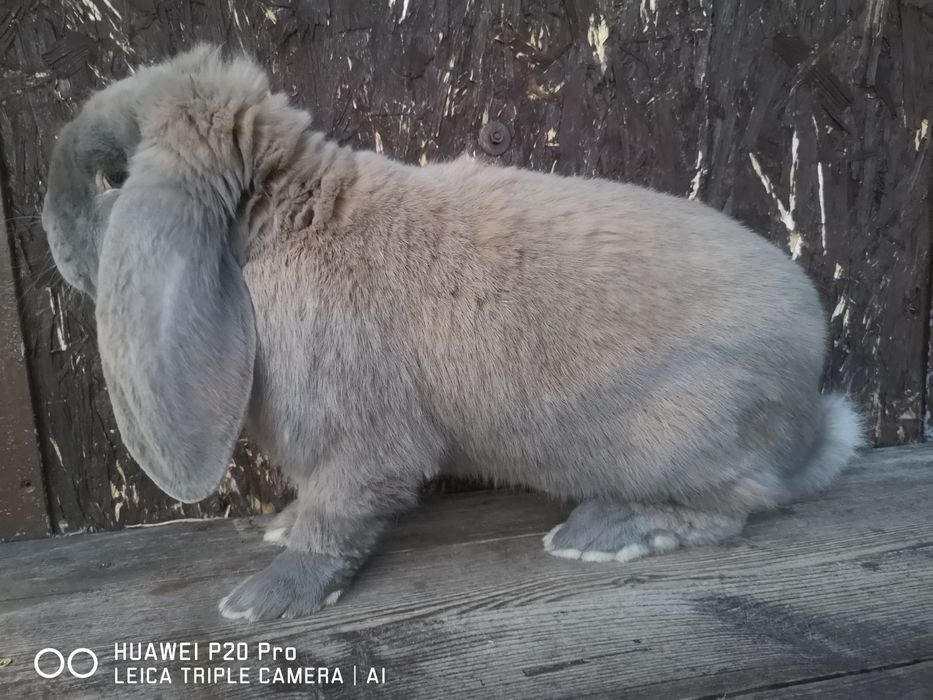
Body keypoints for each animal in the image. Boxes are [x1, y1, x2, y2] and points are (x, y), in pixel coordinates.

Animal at [40, 46, 864, 620]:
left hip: (683, 438)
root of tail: (807, 410)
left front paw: (264, 599)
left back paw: (604, 533)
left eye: (112, 179)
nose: (46, 231)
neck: (280, 219)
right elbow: (316, 509)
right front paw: (280, 530)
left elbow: (336, 521)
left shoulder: (361, 448)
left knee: (738, 505)